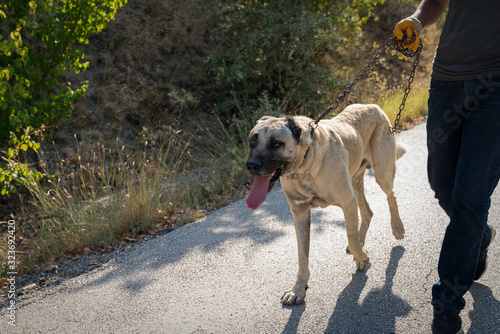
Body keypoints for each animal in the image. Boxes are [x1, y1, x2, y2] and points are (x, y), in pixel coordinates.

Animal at [245, 103, 406, 306]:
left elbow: (350, 238)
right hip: (356, 182)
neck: (305, 164)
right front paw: (298, 289)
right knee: (368, 212)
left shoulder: (348, 202)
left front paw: (361, 257)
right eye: (252, 141)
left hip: (381, 173)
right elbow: (302, 257)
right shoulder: (300, 215)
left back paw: (397, 227)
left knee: (391, 196)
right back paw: (363, 238)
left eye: (276, 144)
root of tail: (371, 105)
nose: (251, 165)